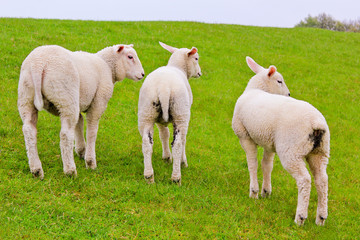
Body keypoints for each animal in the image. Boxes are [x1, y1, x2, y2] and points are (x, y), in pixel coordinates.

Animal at [17, 43, 145, 178]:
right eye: (130, 57)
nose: (142, 74)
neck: (108, 67)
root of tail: (38, 63)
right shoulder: (98, 102)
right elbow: (91, 132)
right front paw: (90, 162)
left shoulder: (77, 102)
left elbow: (79, 124)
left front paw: (81, 151)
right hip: (65, 96)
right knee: (65, 134)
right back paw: (70, 171)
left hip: (26, 97)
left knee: (29, 130)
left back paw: (36, 170)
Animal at [137, 41, 201, 184]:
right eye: (196, 58)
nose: (199, 73)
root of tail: (164, 88)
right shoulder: (184, 116)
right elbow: (183, 140)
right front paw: (183, 162)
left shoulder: (160, 121)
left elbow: (164, 135)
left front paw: (166, 157)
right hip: (180, 113)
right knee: (177, 144)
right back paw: (176, 178)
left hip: (146, 113)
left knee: (146, 143)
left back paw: (149, 176)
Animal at [232, 57, 330, 226]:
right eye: (279, 81)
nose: (289, 94)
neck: (255, 89)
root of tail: (316, 123)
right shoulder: (269, 143)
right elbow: (266, 165)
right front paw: (265, 191)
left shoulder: (245, 136)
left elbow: (252, 164)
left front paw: (254, 192)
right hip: (320, 152)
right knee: (322, 180)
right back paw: (321, 218)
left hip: (292, 151)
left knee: (304, 180)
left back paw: (300, 217)